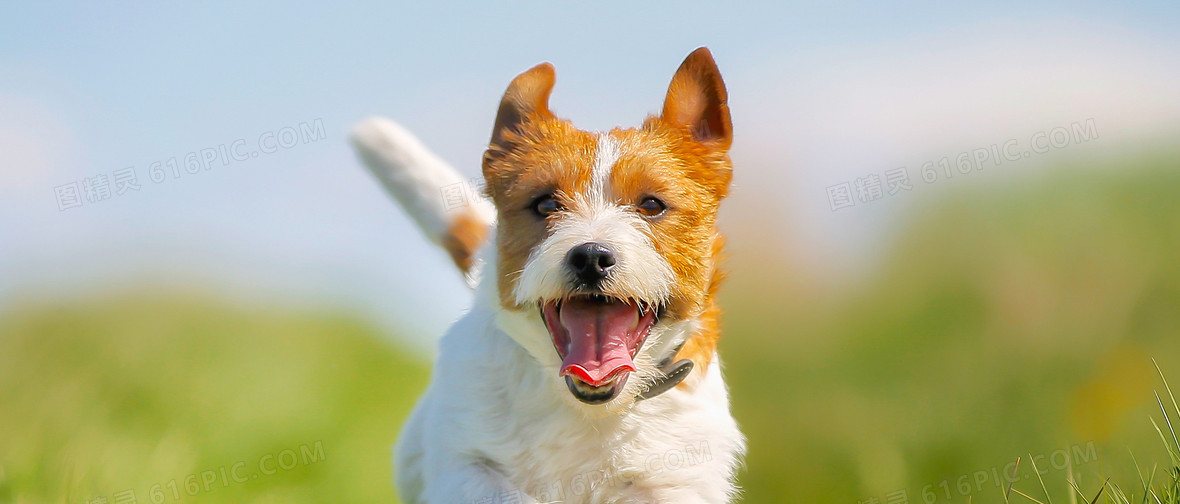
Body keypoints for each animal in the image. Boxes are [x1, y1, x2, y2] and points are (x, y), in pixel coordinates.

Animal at [344, 48, 745, 504]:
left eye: (652, 205)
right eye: (546, 204)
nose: (591, 256)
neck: (588, 409)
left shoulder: (675, 481)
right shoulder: (466, 466)